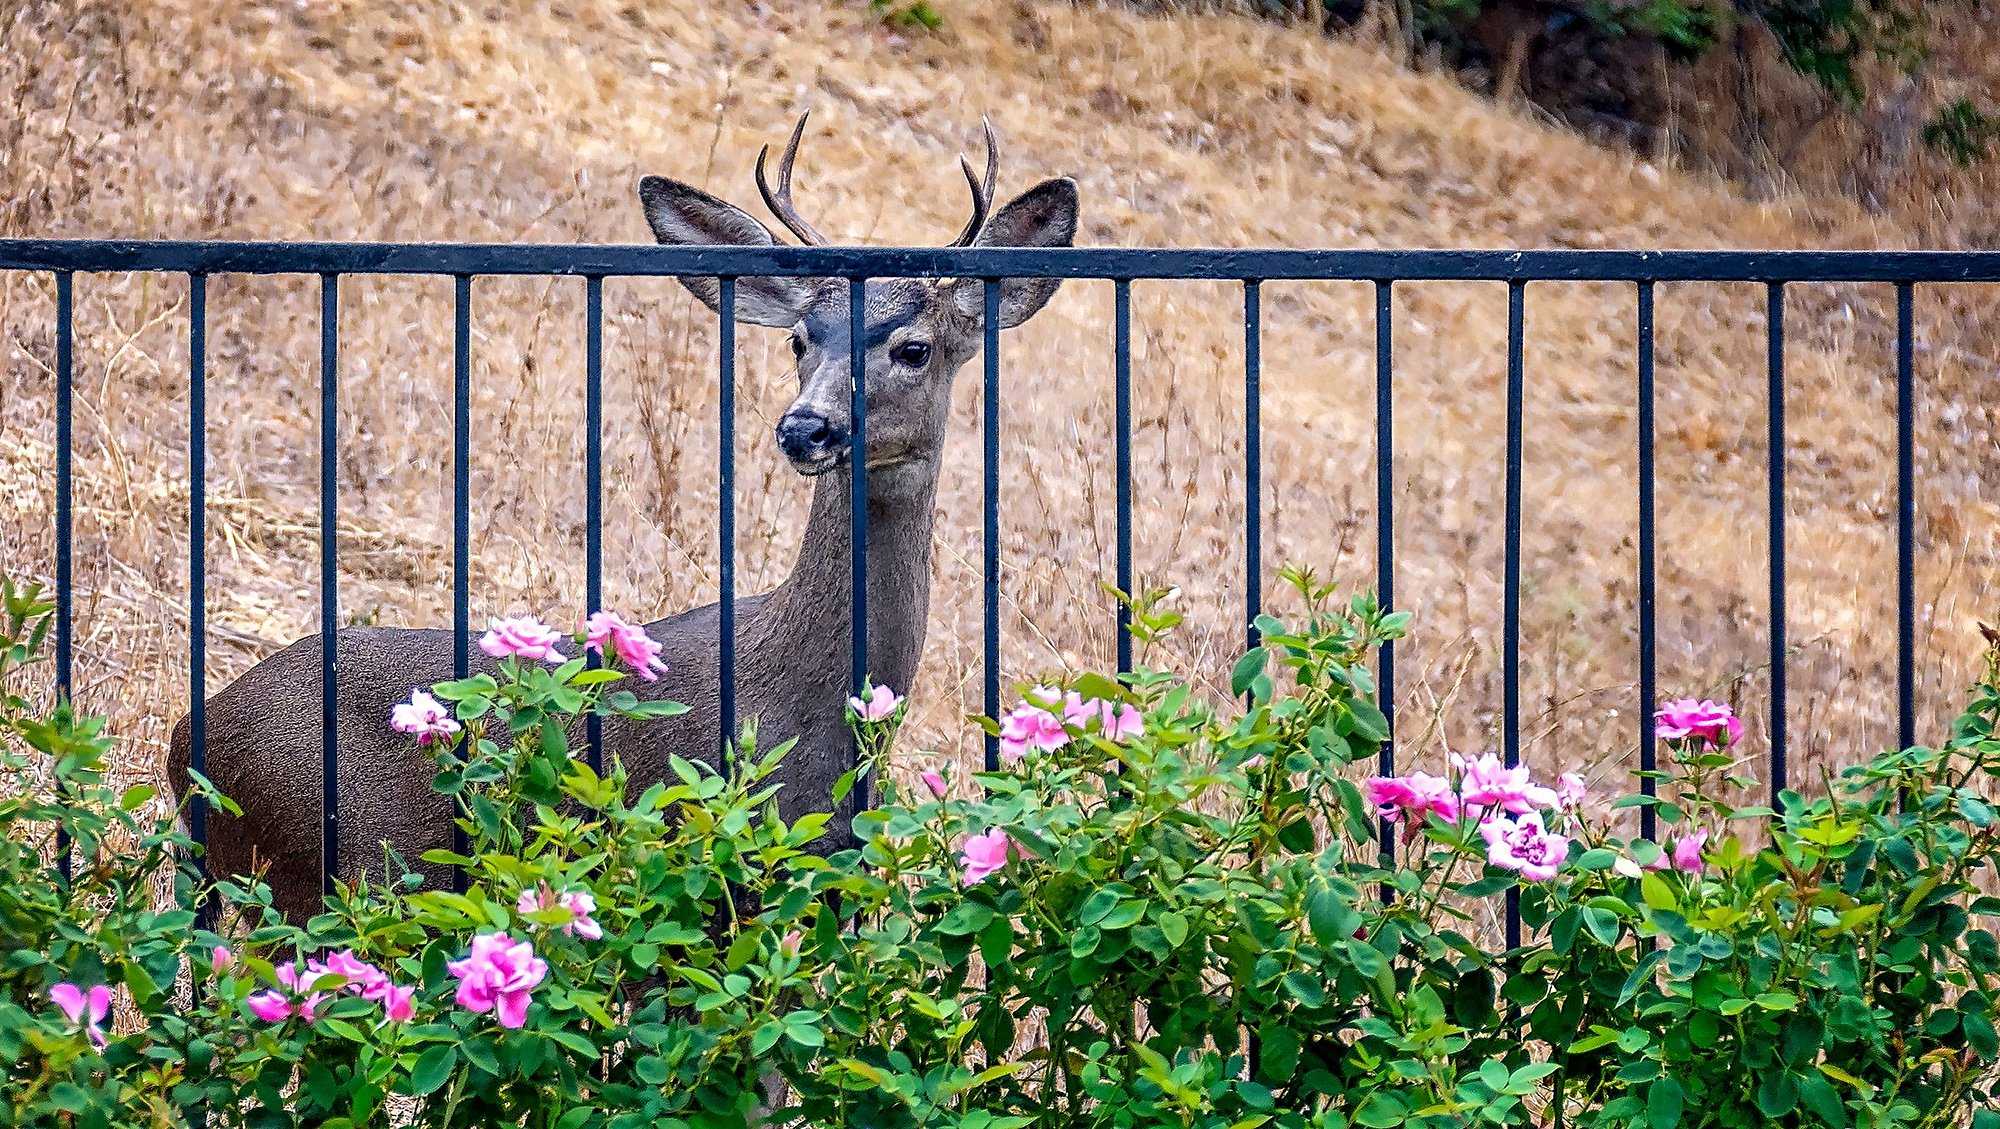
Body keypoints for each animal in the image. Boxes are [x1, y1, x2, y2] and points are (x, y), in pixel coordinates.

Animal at [166, 115, 1080, 921]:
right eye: (799, 339)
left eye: (915, 347)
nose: (805, 427)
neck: (803, 708)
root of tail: (184, 746)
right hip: (324, 867)